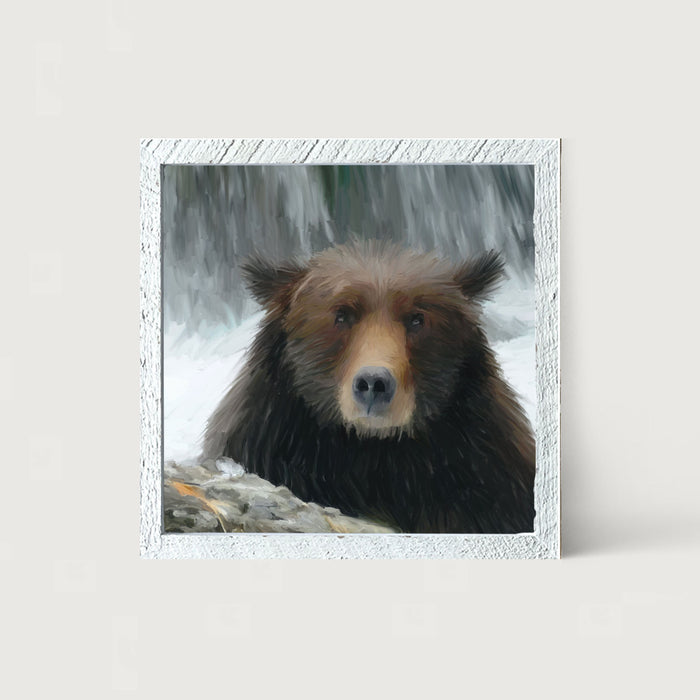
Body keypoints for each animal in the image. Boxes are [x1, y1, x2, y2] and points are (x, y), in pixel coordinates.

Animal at [203, 240, 535, 534]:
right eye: (342, 314)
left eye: (417, 319)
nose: (374, 383)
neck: (372, 452)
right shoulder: (269, 443)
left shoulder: (482, 475)